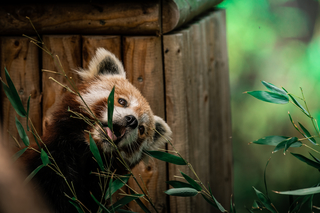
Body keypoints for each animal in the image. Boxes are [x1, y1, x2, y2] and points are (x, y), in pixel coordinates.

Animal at [20, 48, 172, 213]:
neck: (87, 151)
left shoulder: (95, 193)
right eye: (122, 101)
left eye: (141, 129)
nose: (132, 120)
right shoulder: (46, 162)